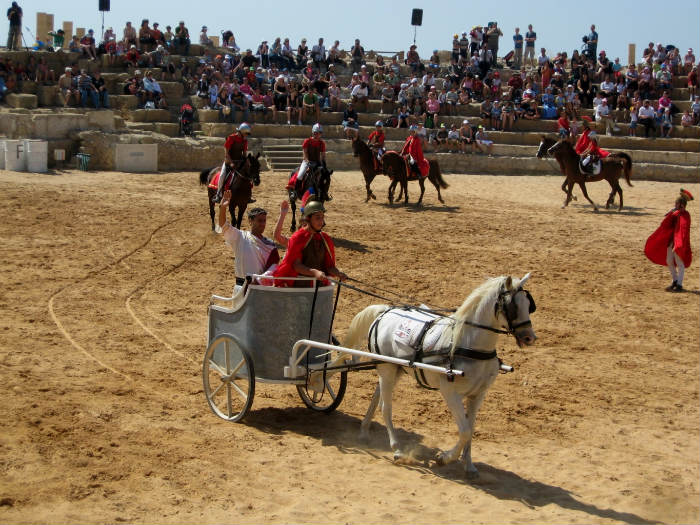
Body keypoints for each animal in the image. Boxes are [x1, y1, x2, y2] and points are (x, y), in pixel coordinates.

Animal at [344, 272, 536, 476]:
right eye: (513, 306)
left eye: (528, 304)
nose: (530, 337)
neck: (467, 344)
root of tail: (385, 311)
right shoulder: (450, 392)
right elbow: (465, 431)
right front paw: (444, 458)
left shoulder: (478, 394)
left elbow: (471, 429)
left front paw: (469, 466)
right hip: (387, 369)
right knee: (385, 407)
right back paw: (397, 449)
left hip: (393, 368)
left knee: (377, 397)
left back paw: (364, 431)